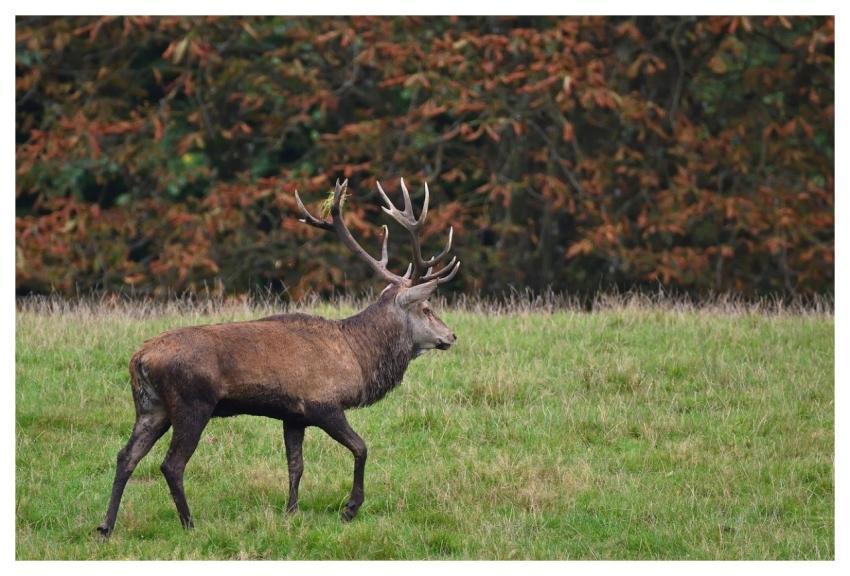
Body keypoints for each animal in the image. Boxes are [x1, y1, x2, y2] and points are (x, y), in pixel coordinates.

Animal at [96, 178, 460, 536]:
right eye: (427, 307)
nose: (452, 336)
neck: (358, 356)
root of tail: (139, 359)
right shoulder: (323, 403)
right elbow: (361, 447)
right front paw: (350, 508)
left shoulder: (293, 415)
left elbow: (295, 465)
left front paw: (291, 512)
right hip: (192, 403)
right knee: (171, 464)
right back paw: (189, 524)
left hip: (152, 407)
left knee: (126, 456)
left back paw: (106, 526)